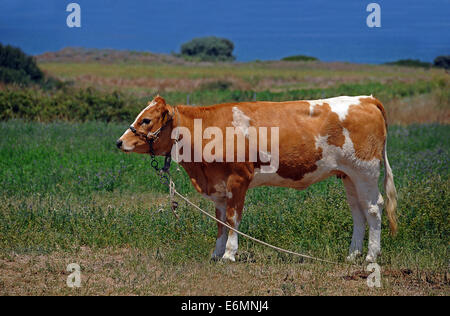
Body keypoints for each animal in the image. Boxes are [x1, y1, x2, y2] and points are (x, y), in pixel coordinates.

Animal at [117, 95, 398, 262]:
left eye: (146, 120)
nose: (120, 142)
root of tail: (366, 99)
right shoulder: (218, 187)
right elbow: (220, 222)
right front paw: (216, 253)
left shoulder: (238, 179)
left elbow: (233, 219)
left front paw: (229, 254)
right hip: (349, 176)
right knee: (358, 211)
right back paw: (353, 254)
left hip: (365, 171)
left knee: (373, 209)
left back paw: (371, 256)